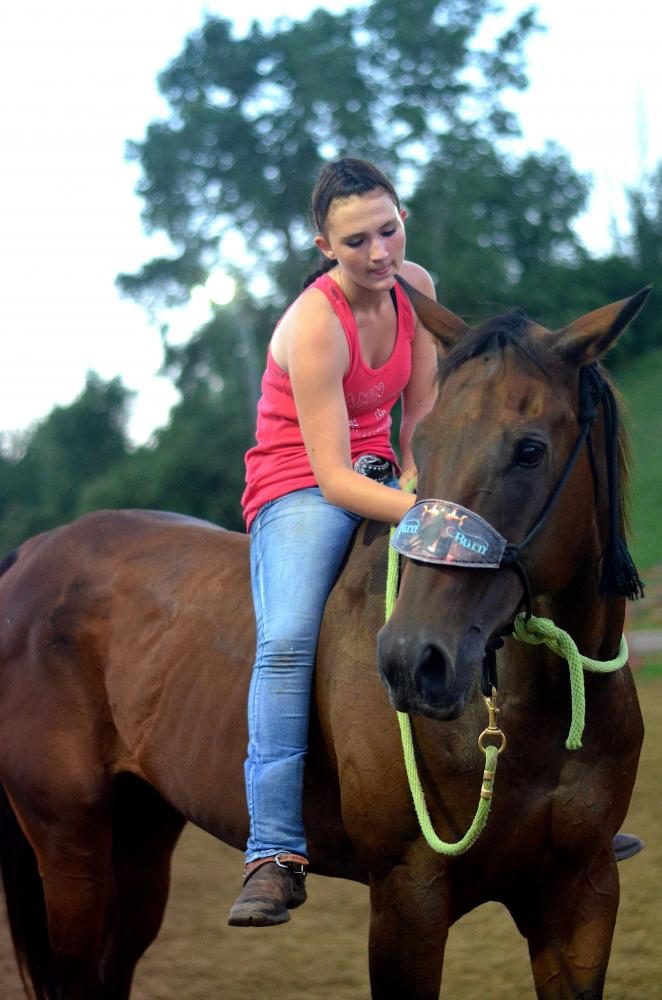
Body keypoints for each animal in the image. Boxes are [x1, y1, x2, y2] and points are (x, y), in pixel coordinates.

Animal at [0, 278, 652, 996]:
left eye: (530, 450)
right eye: (428, 443)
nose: (411, 659)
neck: (535, 713)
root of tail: (30, 554)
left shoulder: (582, 897)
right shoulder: (408, 897)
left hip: (141, 833)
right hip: (70, 851)